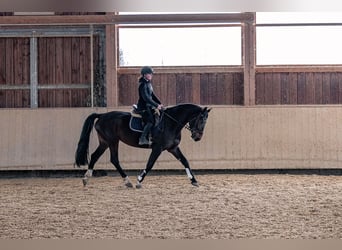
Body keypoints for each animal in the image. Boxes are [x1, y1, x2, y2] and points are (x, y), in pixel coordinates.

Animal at [73, 103, 210, 188]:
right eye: (201, 119)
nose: (197, 137)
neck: (171, 123)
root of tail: (102, 115)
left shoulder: (173, 148)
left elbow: (185, 161)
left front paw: (194, 181)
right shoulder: (158, 148)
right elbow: (150, 164)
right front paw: (139, 180)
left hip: (105, 142)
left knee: (95, 156)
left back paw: (86, 179)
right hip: (112, 141)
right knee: (114, 159)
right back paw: (127, 181)